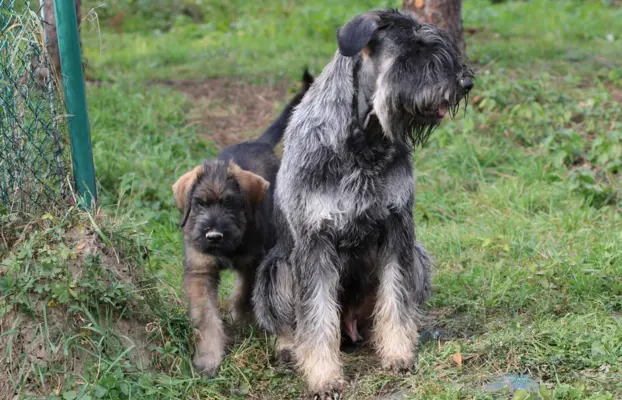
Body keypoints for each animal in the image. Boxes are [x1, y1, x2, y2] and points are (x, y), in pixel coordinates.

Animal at [251, 7, 476, 398]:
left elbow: (396, 299)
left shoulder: (398, 229)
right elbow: (316, 316)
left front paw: (399, 353)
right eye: (414, 50)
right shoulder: (315, 242)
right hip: (275, 271)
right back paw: (288, 347)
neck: (364, 142)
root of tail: (351, 328)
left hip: (418, 256)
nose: (465, 83)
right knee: (290, 324)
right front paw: (324, 378)